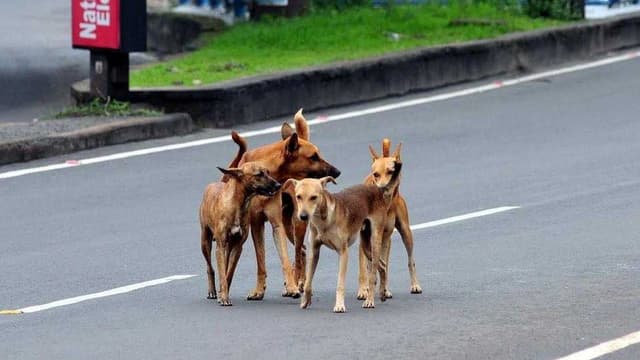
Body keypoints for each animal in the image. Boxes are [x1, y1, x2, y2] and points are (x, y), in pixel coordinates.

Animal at [199, 158, 282, 306]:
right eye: (259, 174)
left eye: (268, 172)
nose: (278, 185)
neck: (238, 204)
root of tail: (212, 184)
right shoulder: (220, 245)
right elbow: (221, 273)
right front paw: (223, 297)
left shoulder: (238, 247)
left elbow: (229, 272)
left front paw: (223, 293)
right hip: (205, 242)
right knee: (210, 268)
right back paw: (212, 291)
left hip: (228, 247)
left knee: (224, 266)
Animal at [229, 110, 340, 300]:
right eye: (314, 157)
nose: (337, 172)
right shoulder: (256, 224)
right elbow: (261, 261)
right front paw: (259, 290)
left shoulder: (276, 224)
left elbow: (286, 260)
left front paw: (292, 286)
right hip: (289, 226)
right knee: (301, 250)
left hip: (297, 222)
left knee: (298, 252)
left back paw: (298, 283)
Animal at [284, 159, 400, 310]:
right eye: (298, 197)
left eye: (313, 197)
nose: (303, 216)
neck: (325, 220)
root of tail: (377, 190)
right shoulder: (313, 252)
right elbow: (308, 281)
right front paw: (305, 301)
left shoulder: (343, 253)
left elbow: (340, 284)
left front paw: (339, 305)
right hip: (366, 246)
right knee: (382, 265)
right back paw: (382, 292)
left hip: (375, 241)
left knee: (373, 273)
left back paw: (370, 300)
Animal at [358, 139, 422, 300]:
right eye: (376, 174)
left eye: (390, 172)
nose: (382, 188)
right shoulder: (364, 237)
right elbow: (365, 266)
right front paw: (364, 289)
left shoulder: (384, 236)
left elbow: (382, 265)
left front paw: (381, 287)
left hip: (405, 233)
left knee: (409, 260)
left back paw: (412, 285)